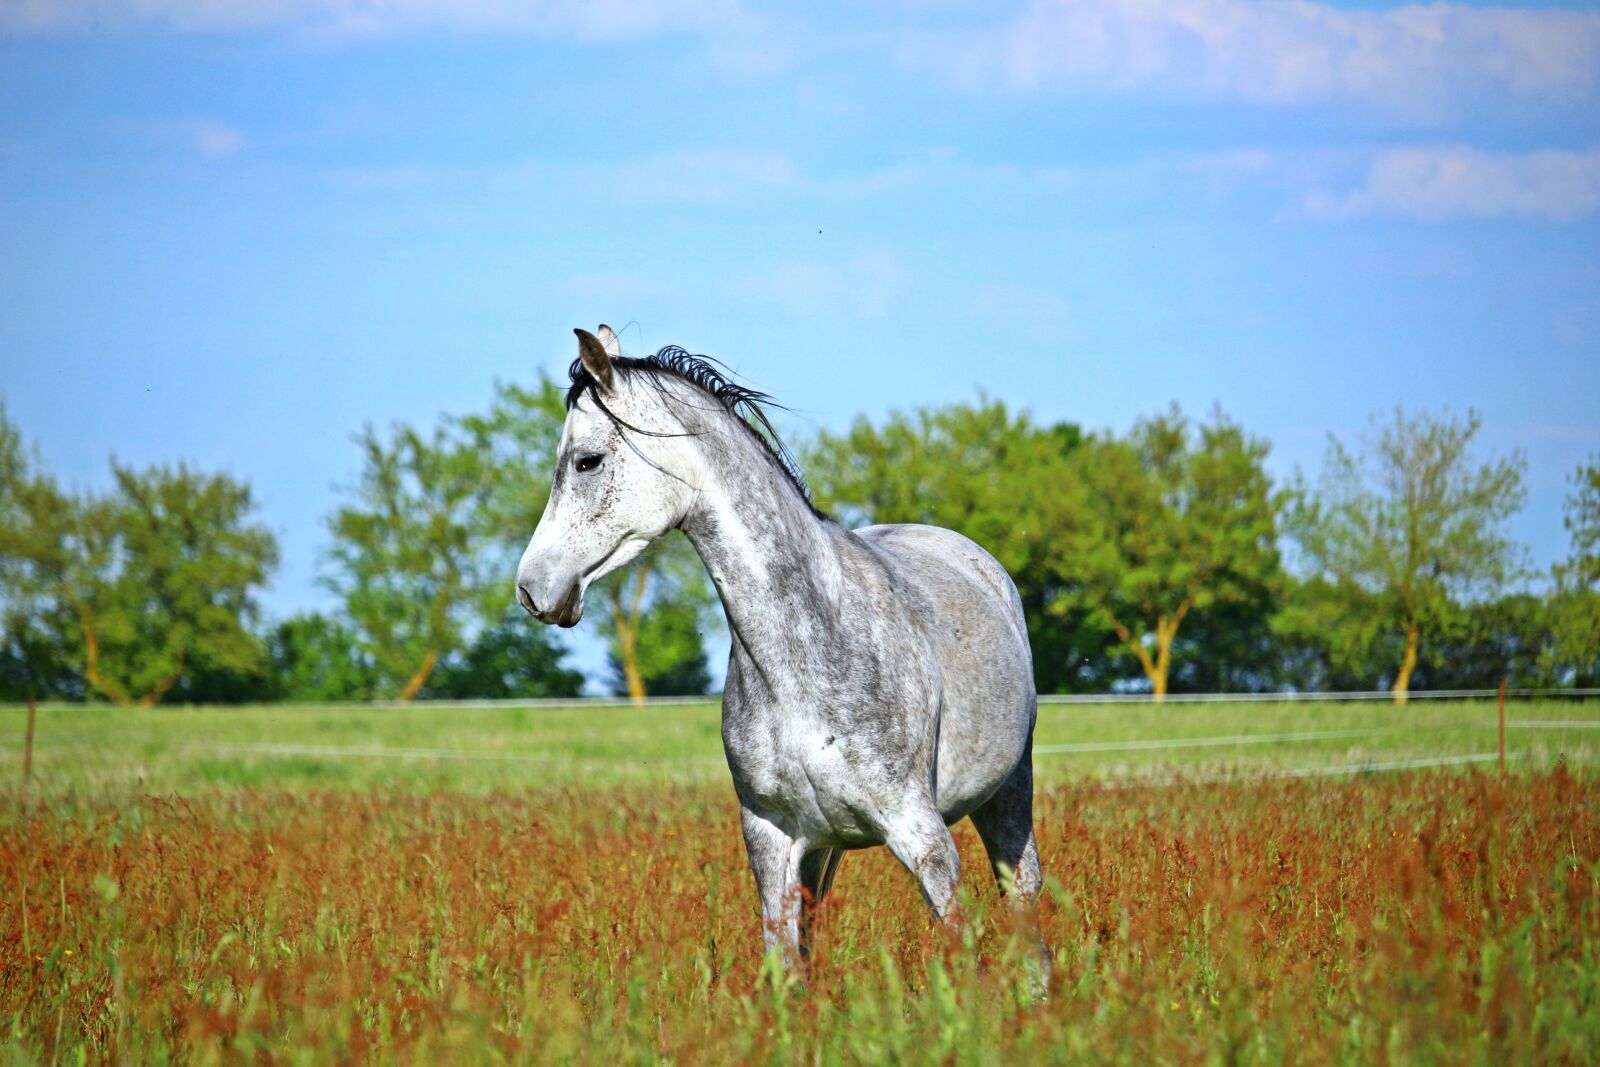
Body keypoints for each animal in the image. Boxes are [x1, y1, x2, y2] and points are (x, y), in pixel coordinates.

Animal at [516, 325, 1048, 973]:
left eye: (587, 460)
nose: (531, 588)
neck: (804, 654)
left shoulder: (923, 839)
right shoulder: (772, 840)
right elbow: (786, 969)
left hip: (1008, 801)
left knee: (1029, 925)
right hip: (821, 852)